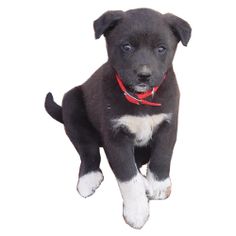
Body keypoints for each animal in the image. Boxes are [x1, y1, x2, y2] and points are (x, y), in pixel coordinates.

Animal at [44, 8, 192, 229]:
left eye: (161, 48)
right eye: (127, 46)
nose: (144, 75)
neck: (140, 99)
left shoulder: (168, 123)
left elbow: (162, 155)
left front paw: (158, 184)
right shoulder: (115, 136)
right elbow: (127, 174)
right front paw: (137, 211)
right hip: (71, 103)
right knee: (88, 150)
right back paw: (89, 178)